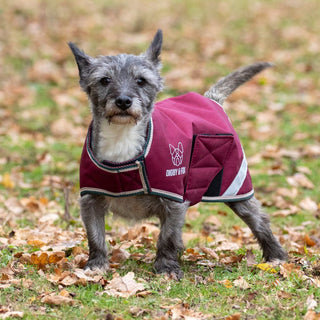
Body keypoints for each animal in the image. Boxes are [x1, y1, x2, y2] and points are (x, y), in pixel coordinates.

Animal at [68, 30, 288, 280]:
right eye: (105, 80)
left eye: (141, 80)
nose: (123, 101)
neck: (122, 141)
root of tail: (211, 100)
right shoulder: (91, 201)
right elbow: (95, 236)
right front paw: (96, 265)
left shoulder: (173, 202)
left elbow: (167, 237)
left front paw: (166, 268)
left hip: (235, 188)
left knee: (259, 220)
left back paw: (276, 256)